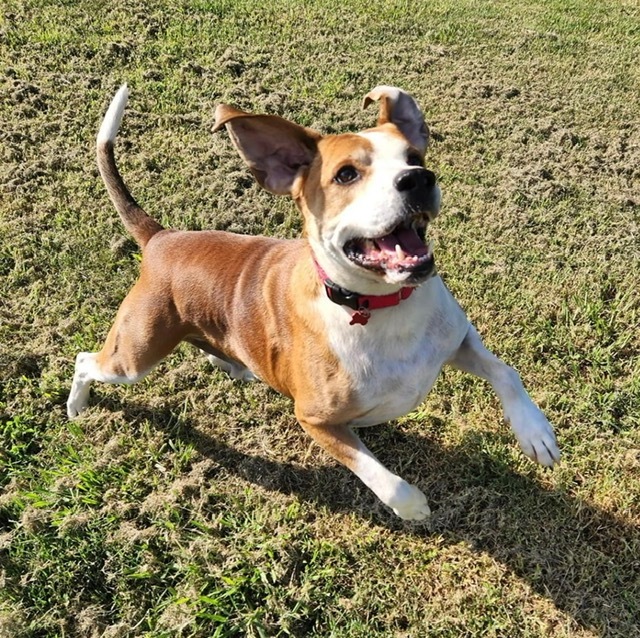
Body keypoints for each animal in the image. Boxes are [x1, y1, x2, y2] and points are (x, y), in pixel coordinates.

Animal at [67, 85, 560, 524]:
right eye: (346, 174)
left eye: (415, 158)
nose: (419, 179)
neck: (378, 305)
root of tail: (162, 237)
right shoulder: (316, 421)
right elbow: (379, 475)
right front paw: (412, 506)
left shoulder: (457, 339)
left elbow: (505, 371)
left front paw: (535, 433)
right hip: (136, 355)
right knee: (85, 360)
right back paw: (76, 406)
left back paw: (233, 364)